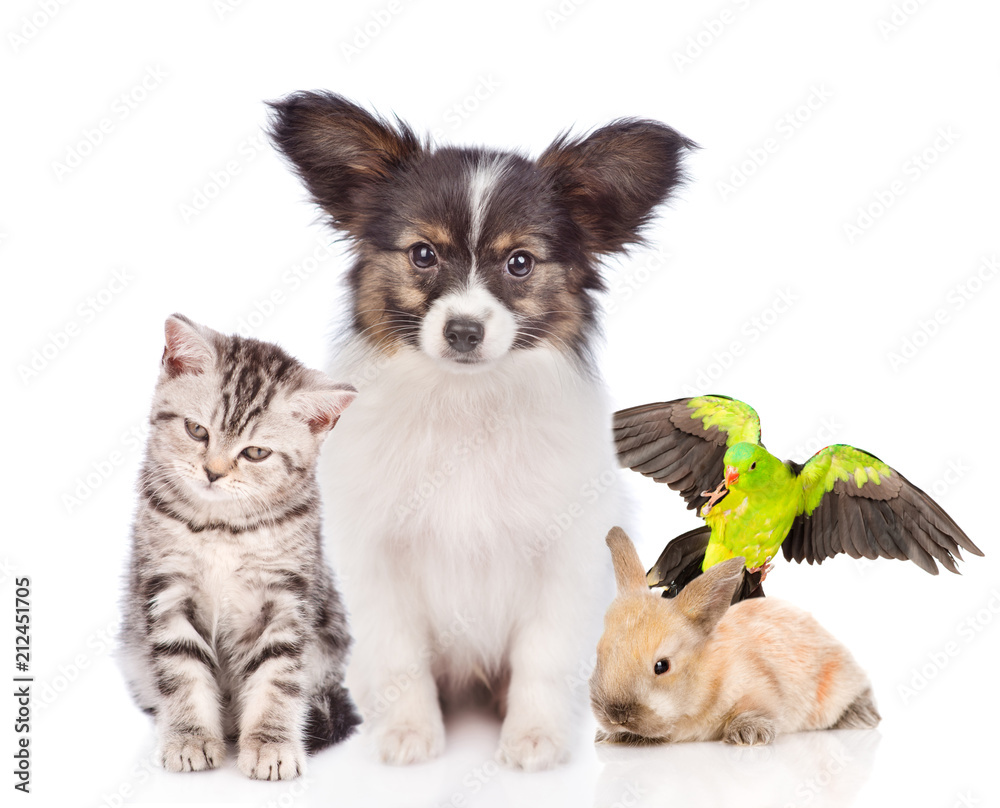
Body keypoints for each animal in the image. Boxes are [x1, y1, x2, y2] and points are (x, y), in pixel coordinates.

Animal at [118, 312, 360, 780]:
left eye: (256, 453)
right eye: (197, 430)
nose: (213, 472)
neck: (221, 527)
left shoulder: (287, 597)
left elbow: (277, 676)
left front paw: (271, 744)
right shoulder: (166, 587)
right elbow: (182, 669)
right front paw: (190, 738)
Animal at [266, 94, 696, 772]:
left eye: (520, 263)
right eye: (423, 254)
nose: (464, 330)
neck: (465, 405)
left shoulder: (563, 557)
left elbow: (542, 656)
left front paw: (534, 737)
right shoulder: (378, 560)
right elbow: (398, 656)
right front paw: (409, 732)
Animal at [588, 524, 880, 744]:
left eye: (662, 666)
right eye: (599, 654)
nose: (615, 716)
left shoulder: (761, 687)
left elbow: (761, 707)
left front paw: (749, 734)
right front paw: (608, 736)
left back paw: (861, 716)